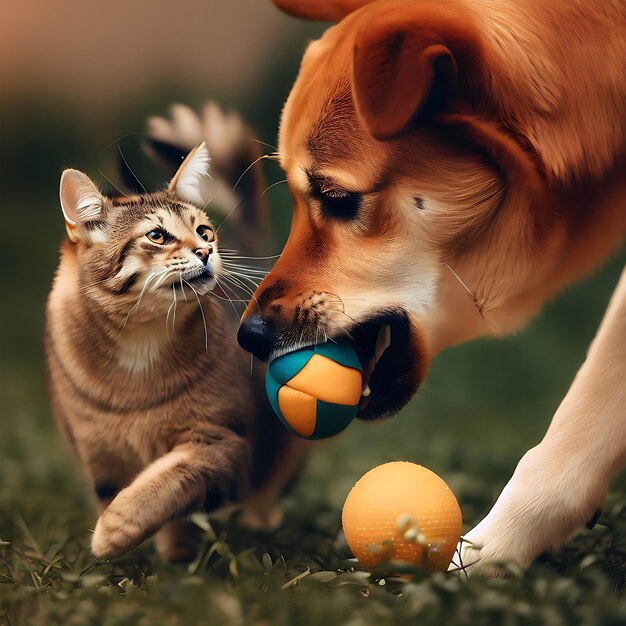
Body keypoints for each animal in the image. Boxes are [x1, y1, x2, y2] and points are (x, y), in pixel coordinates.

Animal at [46, 108, 304, 560]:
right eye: (157, 235)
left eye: (203, 231)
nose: (206, 252)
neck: (140, 337)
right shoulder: (99, 457)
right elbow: (139, 496)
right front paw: (160, 558)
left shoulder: (223, 441)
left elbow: (168, 482)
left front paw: (116, 530)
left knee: (268, 483)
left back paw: (260, 525)